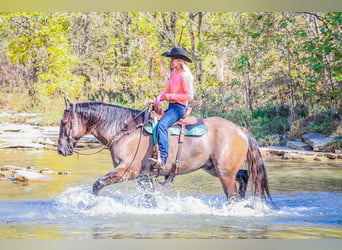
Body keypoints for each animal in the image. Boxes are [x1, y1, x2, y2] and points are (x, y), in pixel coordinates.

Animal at [57, 98, 276, 207]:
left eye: (63, 122)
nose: (60, 149)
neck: (124, 130)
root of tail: (240, 129)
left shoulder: (126, 172)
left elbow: (97, 185)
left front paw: (93, 206)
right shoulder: (143, 177)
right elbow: (150, 200)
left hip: (225, 173)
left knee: (232, 195)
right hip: (215, 168)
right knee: (245, 176)